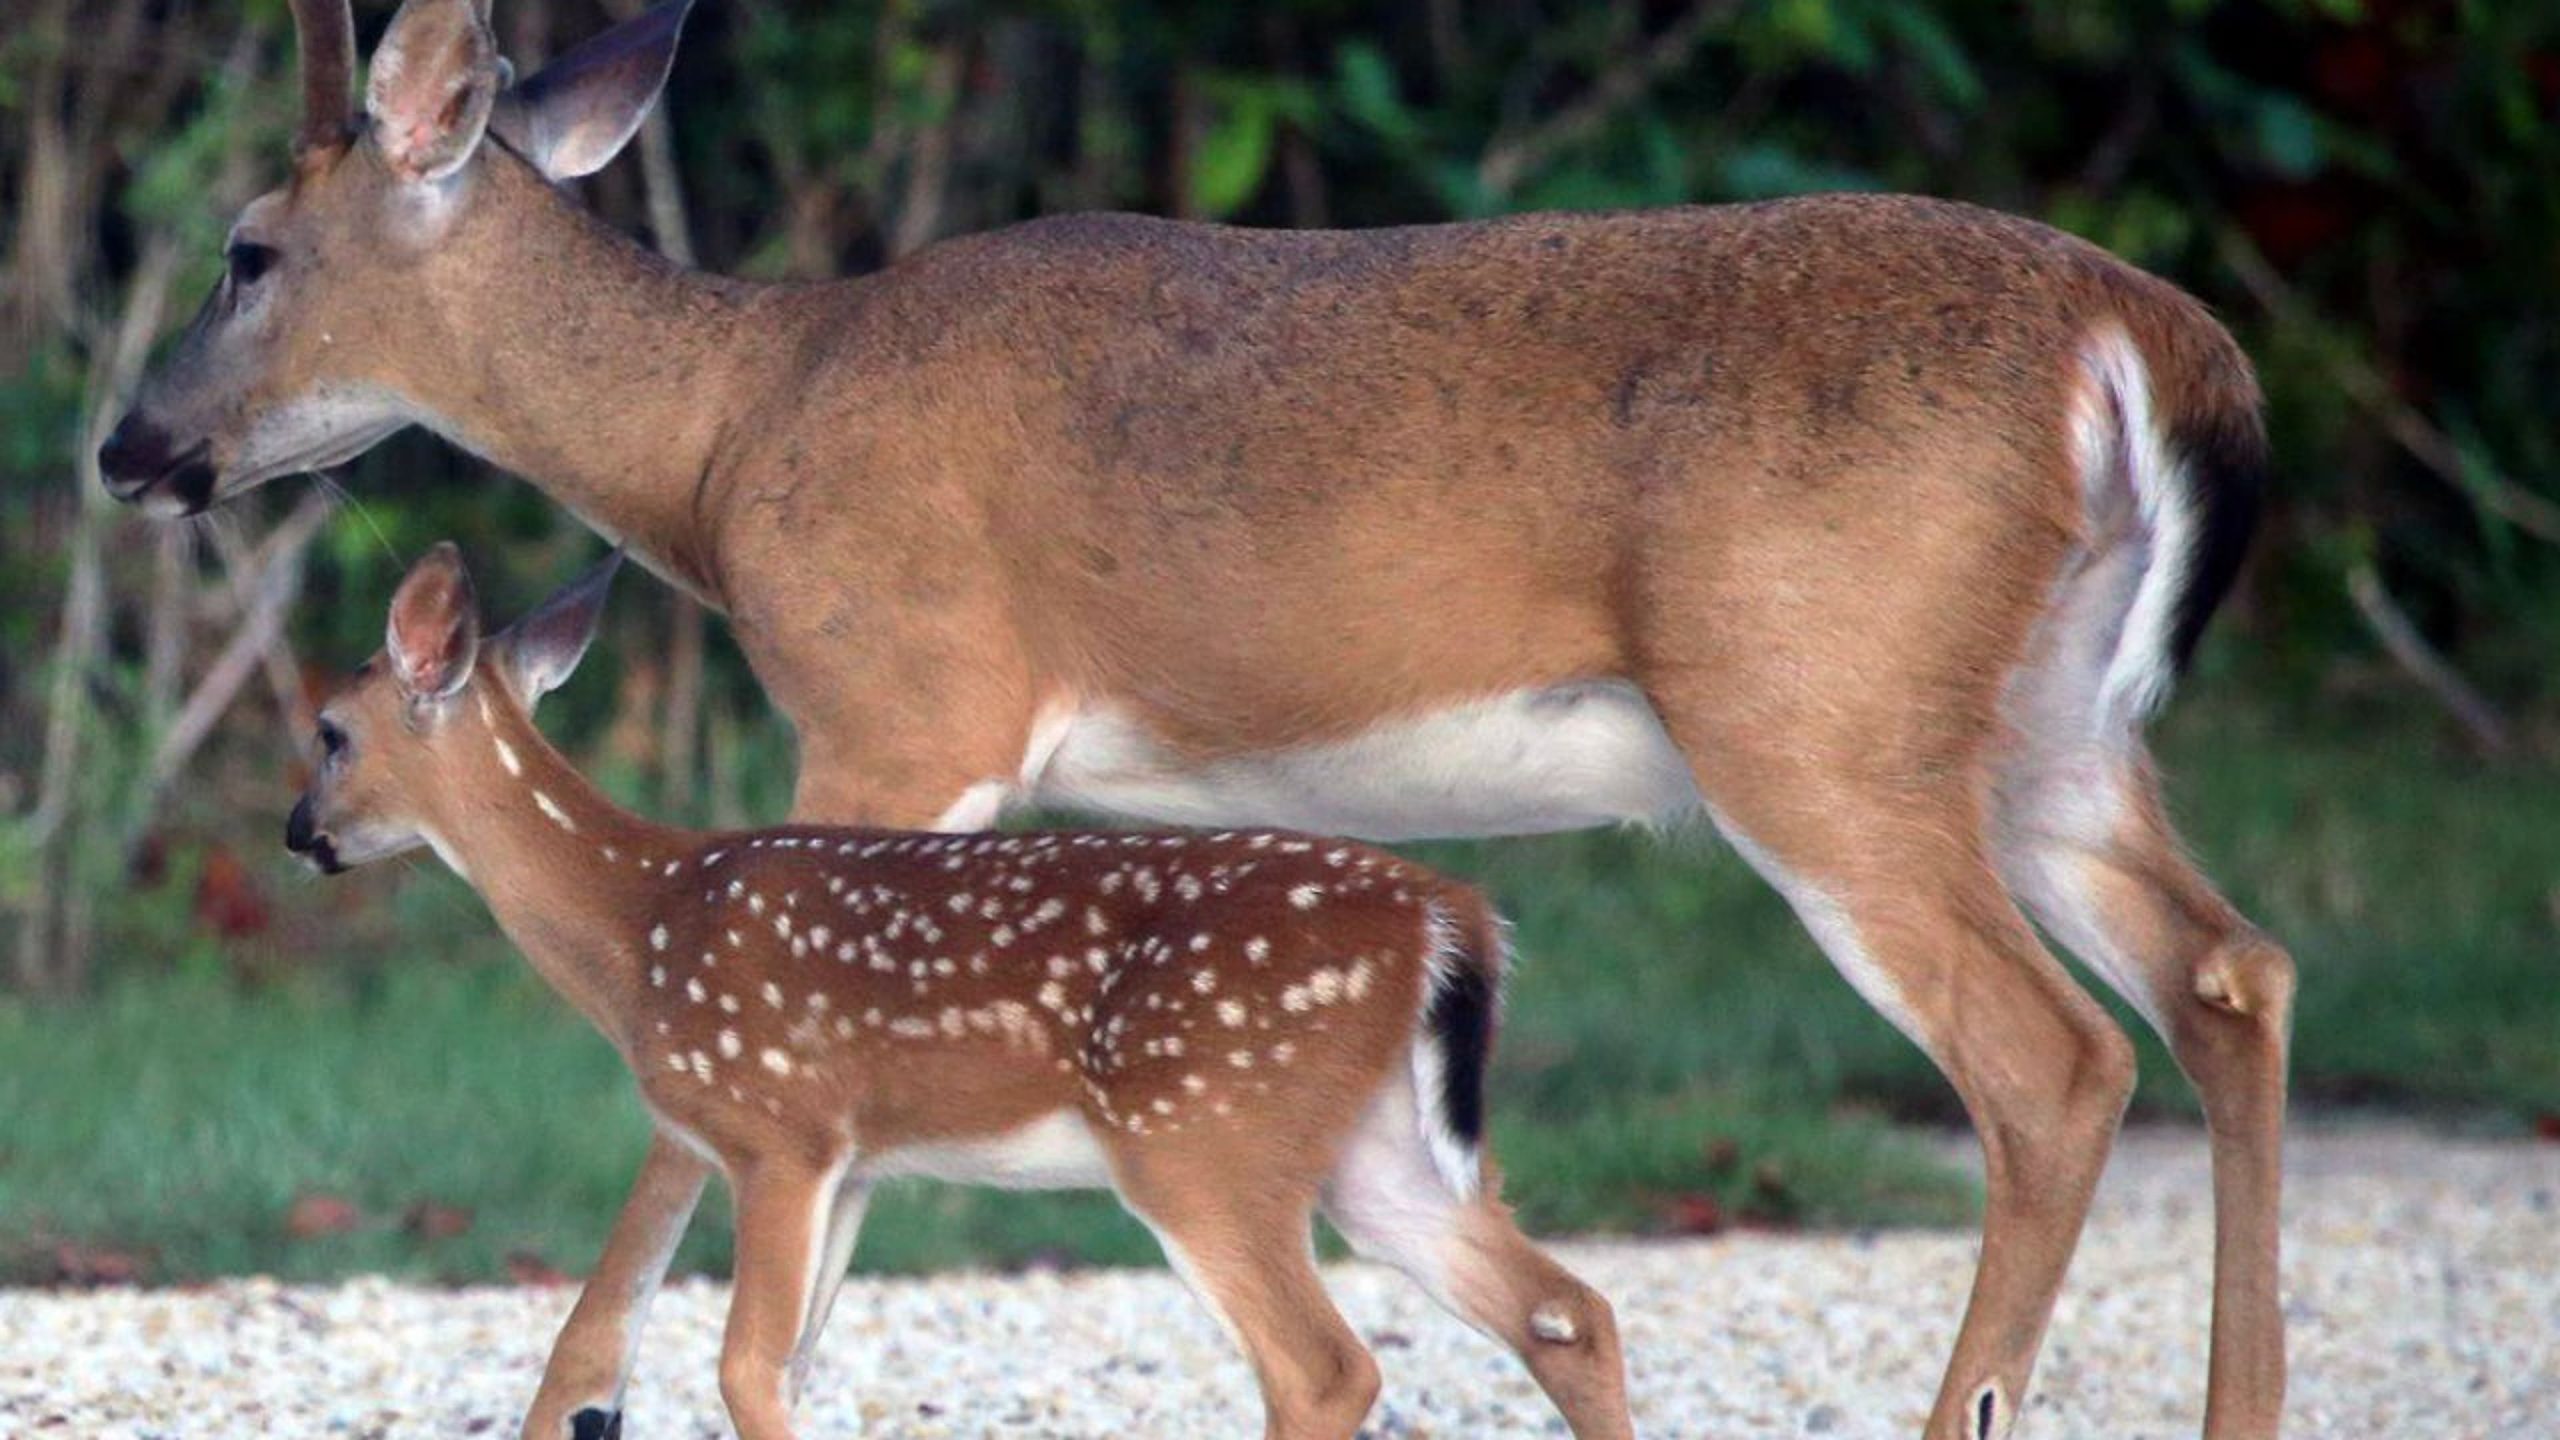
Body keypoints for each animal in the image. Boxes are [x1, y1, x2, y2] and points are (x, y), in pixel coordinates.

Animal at [283, 542, 1635, 1440]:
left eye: (332, 731)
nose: (300, 836)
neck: (643, 921)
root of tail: (1450, 918)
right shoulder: (856, 1164)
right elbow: (794, 1361)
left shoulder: (778, 1130)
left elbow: (744, 1368)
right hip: (1374, 1148)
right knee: (1566, 1309)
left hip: (1203, 1135)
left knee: (1325, 1367)